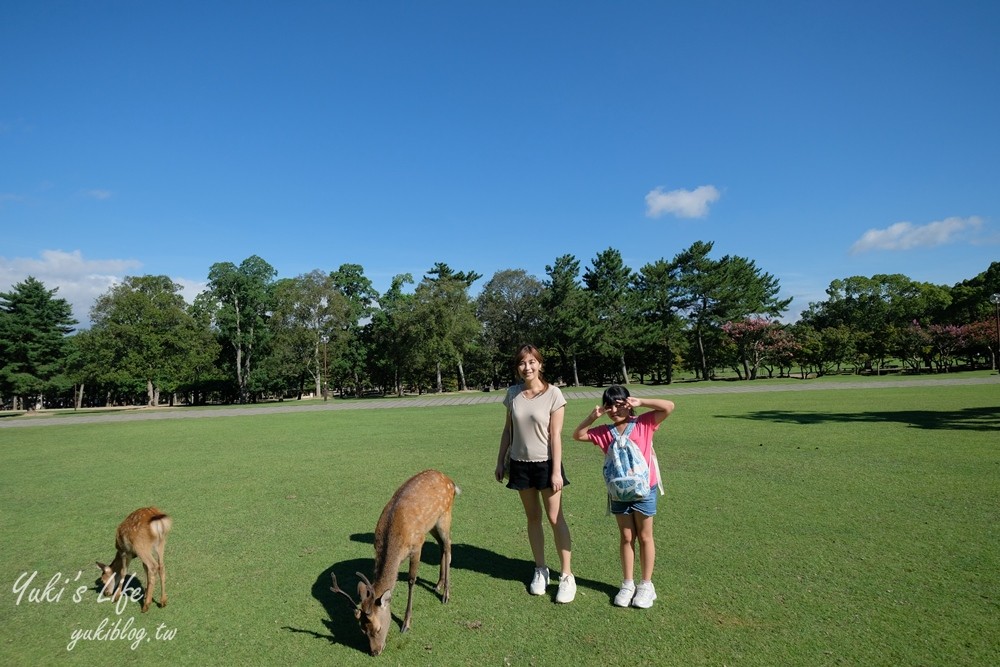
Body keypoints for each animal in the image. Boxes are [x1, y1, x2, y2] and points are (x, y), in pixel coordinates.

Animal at [332, 470, 464, 656]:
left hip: (445, 515)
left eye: (378, 629)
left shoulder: (417, 545)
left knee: (448, 545)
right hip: (432, 524)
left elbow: (411, 580)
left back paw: (446, 594)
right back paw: (438, 584)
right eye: (363, 630)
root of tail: (450, 481)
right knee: (441, 546)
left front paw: (406, 624)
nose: (375, 652)